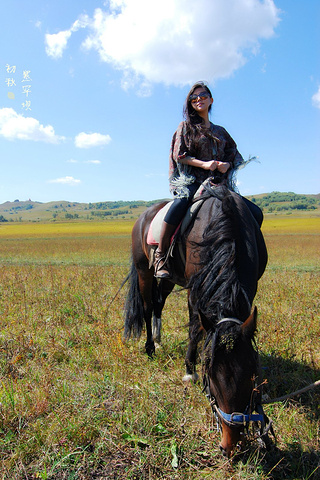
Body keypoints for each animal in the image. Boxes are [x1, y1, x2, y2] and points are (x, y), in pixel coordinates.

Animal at [122, 182, 270, 456]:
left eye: (251, 374)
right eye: (211, 377)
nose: (230, 443)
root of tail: (144, 216)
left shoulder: (250, 288)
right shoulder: (195, 289)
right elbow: (194, 328)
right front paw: (189, 369)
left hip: (168, 278)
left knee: (159, 302)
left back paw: (159, 339)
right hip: (143, 268)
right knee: (147, 307)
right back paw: (150, 347)